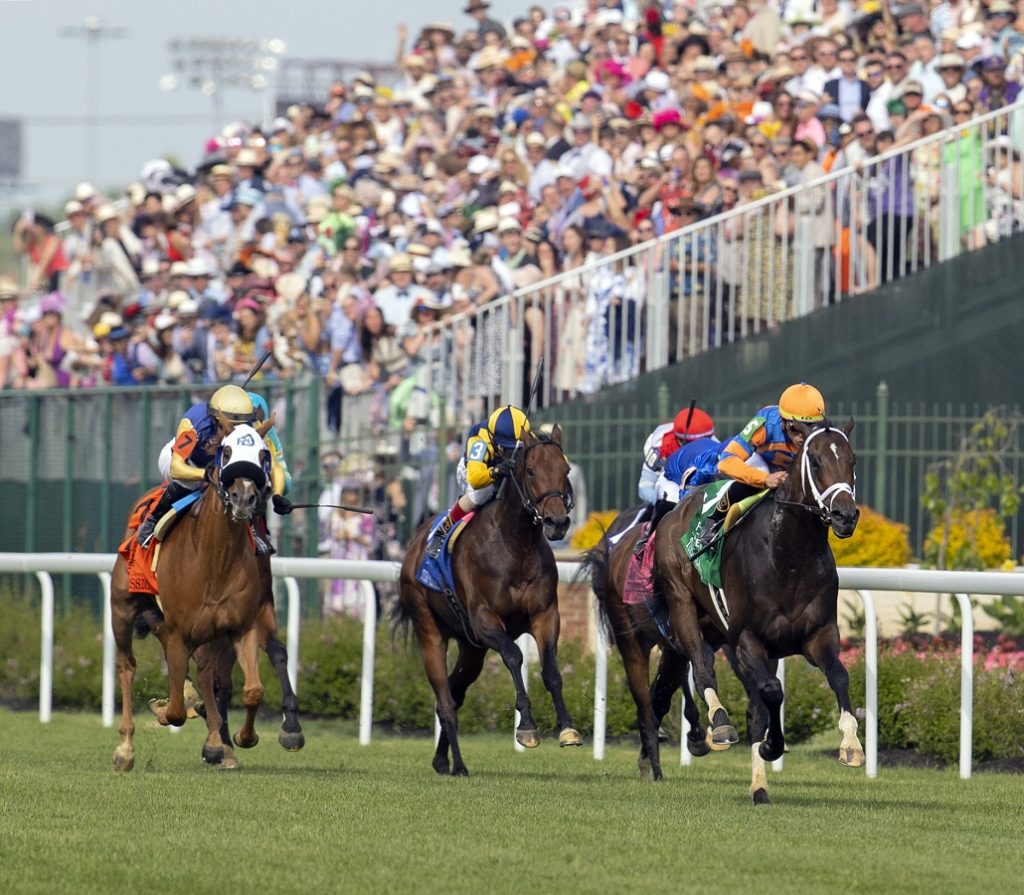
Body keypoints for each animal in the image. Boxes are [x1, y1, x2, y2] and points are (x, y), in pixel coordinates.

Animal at [111, 423, 272, 765]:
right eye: (226, 451)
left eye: (263, 454)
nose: (244, 498)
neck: (215, 560)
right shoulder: (177, 632)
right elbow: (174, 712)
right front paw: (164, 709)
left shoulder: (242, 626)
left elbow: (253, 690)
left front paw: (243, 737)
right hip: (122, 610)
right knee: (126, 665)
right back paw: (126, 748)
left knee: (205, 672)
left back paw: (215, 740)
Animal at [393, 425, 581, 774]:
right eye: (531, 470)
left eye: (566, 470)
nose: (557, 522)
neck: (515, 546)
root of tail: (412, 548)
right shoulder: (484, 620)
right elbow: (514, 657)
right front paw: (527, 727)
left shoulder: (546, 615)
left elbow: (551, 670)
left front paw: (567, 728)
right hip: (430, 631)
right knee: (444, 699)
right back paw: (459, 765)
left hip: (472, 650)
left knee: (455, 693)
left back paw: (442, 760)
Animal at [585, 417, 864, 802]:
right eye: (817, 461)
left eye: (852, 460)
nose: (845, 515)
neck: (789, 557)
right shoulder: (746, 640)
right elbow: (769, 694)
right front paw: (768, 748)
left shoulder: (818, 637)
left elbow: (837, 677)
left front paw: (851, 745)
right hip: (660, 622)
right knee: (679, 681)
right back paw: (711, 729)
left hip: (681, 642)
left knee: (662, 693)